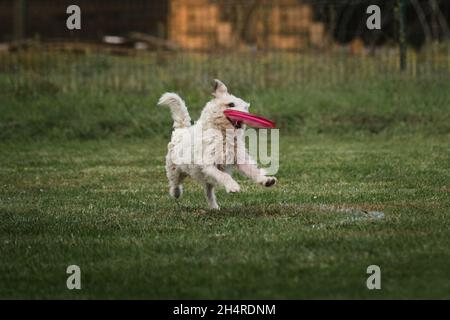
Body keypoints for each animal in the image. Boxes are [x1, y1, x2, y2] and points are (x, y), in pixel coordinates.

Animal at [158, 79, 278, 210]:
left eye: (245, 107)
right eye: (231, 105)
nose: (246, 116)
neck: (223, 134)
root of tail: (181, 130)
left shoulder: (239, 159)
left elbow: (253, 171)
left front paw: (266, 180)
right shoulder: (209, 165)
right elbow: (224, 176)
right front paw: (233, 186)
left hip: (207, 179)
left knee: (208, 192)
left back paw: (214, 207)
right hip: (174, 169)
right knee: (175, 182)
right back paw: (176, 193)